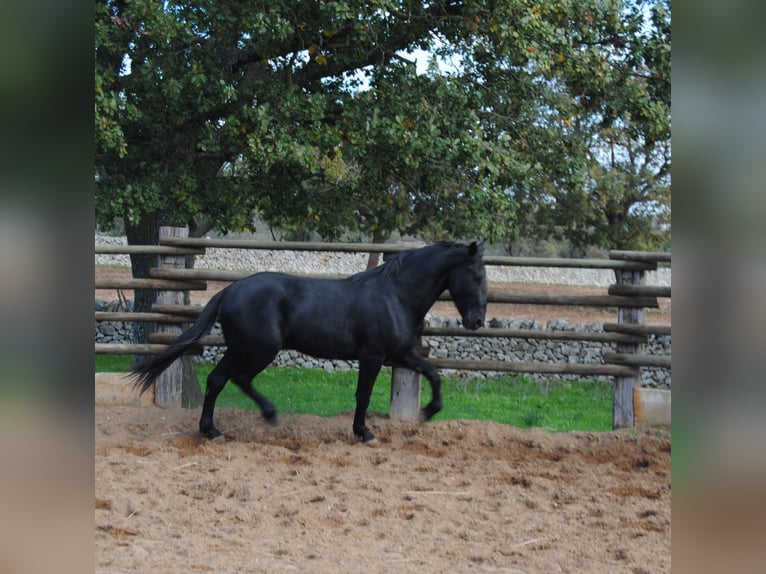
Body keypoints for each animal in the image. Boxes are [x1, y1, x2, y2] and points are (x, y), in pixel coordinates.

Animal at [131, 241, 486, 444]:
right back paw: (269, 415)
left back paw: (211, 431)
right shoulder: (373, 356)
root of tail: (230, 290)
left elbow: (434, 374)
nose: (477, 321)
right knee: (239, 378)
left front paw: (428, 411)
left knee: (217, 380)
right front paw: (364, 433)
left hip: (239, 347)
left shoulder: (401, 354)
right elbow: (363, 395)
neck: (396, 296)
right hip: (259, 349)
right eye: (478, 276)